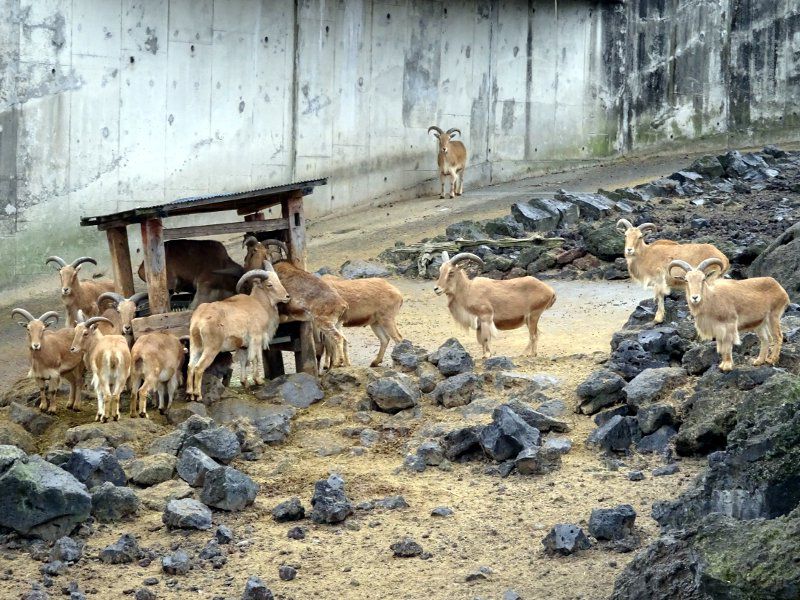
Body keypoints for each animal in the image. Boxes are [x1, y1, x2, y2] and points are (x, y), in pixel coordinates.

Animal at [186, 264, 290, 402]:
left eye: (279, 280)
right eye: (269, 284)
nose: (287, 297)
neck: (259, 304)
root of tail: (199, 321)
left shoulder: (243, 345)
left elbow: (243, 361)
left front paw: (244, 382)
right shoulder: (256, 338)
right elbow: (255, 358)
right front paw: (258, 381)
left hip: (195, 346)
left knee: (190, 366)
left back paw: (189, 394)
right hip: (211, 348)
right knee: (198, 368)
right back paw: (198, 395)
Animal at [243, 237, 349, 369]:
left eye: (251, 252)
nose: (244, 264)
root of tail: (343, 305)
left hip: (325, 323)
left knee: (338, 338)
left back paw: (338, 363)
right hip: (338, 323)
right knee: (344, 339)